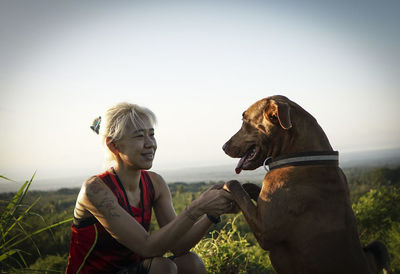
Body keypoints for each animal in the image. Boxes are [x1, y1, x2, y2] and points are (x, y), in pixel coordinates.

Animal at [223, 96, 390, 274]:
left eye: (244, 121)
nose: (223, 147)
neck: (302, 158)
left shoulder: (264, 230)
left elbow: (234, 185)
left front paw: (227, 186)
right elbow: (251, 190)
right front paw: (248, 187)